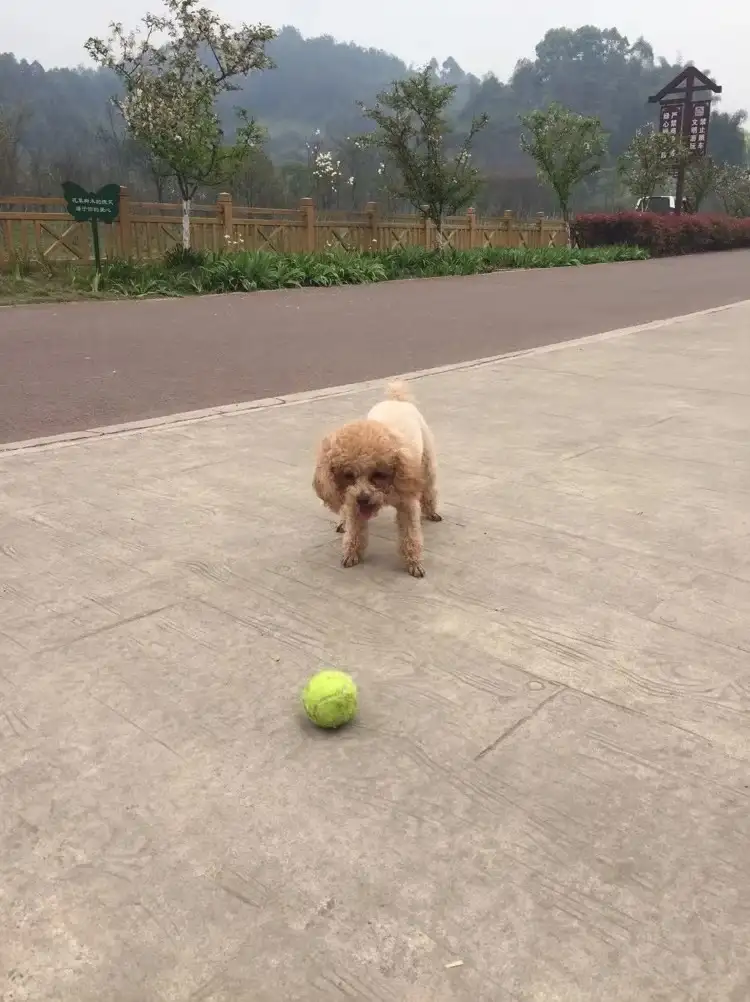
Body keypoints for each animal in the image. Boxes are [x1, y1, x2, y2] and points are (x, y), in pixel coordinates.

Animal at [310, 378, 438, 577]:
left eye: (378, 474)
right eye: (348, 475)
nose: (363, 498)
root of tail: (395, 400)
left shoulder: (407, 503)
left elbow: (410, 535)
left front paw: (414, 562)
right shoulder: (353, 501)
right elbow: (355, 531)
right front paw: (351, 553)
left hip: (427, 462)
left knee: (429, 488)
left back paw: (431, 511)